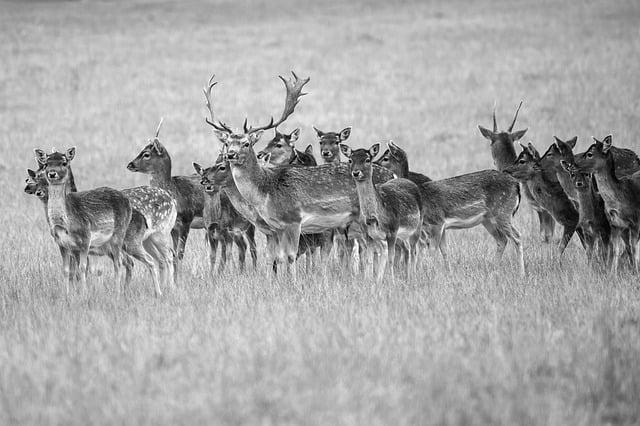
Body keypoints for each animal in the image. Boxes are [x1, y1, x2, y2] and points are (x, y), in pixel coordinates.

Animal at [126, 118, 204, 282]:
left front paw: (176, 281)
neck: (175, 193)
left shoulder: (187, 220)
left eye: (146, 154)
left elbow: (179, 254)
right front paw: (174, 280)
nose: (130, 164)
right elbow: (173, 255)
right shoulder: (174, 227)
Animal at [204, 73, 396, 280]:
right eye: (228, 142)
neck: (266, 192)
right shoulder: (277, 227)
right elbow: (276, 257)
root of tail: (393, 175)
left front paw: (293, 282)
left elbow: (290, 256)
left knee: (379, 247)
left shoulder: (294, 220)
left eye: (246, 143)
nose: (230, 154)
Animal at [340, 144, 424, 282]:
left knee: (413, 250)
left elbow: (391, 259)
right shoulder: (368, 234)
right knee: (404, 250)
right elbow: (369, 259)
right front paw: (369, 280)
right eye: (350, 160)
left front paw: (391, 281)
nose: (356, 172)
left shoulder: (392, 232)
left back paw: (412, 277)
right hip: (398, 236)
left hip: (417, 227)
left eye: (367, 159)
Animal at [576, 135, 640, 272]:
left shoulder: (636, 222)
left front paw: (635, 271)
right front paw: (612, 273)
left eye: (590, 154)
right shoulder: (615, 225)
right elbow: (616, 250)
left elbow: (633, 249)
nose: (573, 164)